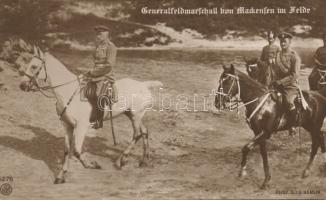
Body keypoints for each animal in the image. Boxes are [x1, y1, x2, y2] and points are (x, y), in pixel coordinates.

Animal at [18, 46, 162, 183]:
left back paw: (121, 161)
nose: (22, 85)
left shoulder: (81, 127)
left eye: (34, 66)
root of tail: (143, 84)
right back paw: (143, 161)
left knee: (137, 134)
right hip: (132, 115)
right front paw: (61, 176)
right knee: (144, 132)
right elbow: (67, 150)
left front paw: (92, 165)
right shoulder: (67, 125)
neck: (68, 92)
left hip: (136, 116)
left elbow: (77, 151)